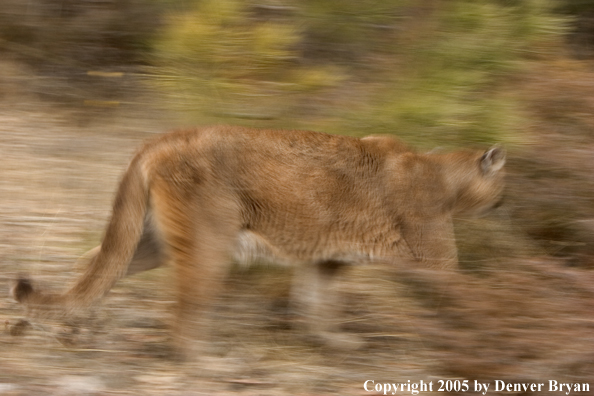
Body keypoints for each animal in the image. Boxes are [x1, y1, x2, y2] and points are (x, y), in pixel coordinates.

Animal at [12, 126, 504, 356]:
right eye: (501, 186)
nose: (504, 204)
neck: (444, 174)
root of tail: (167, 136)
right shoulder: (437, 260)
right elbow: (474, 295)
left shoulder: (326, 261)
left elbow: (316, 305)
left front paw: (332, 342)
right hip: (209, 244)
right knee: (184, 308)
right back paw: (200, 360)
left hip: (150, 242)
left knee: (94, 265)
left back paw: (76, 327)